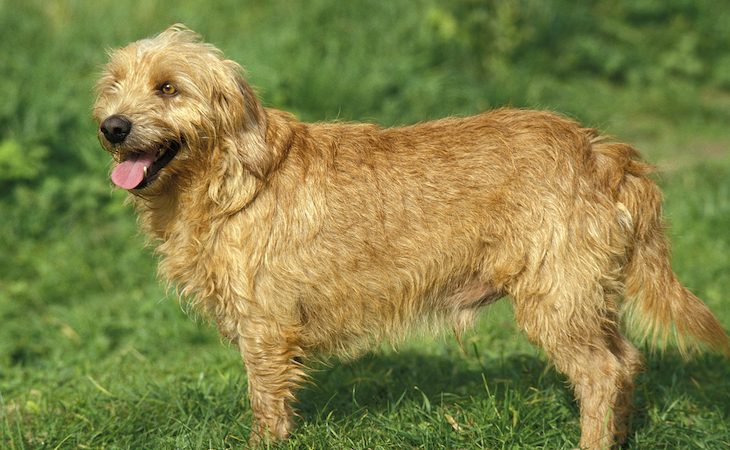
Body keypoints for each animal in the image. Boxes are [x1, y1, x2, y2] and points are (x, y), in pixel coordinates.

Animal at [92, 26, 728, 448]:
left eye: (168, 88)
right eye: (114, 85)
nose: (112, 127)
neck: (230, 178)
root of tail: (601, 150)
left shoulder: (266, 329)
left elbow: (266, 409)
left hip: (556, 300)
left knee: (602, 373)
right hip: (587, 297)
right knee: (627, 361)